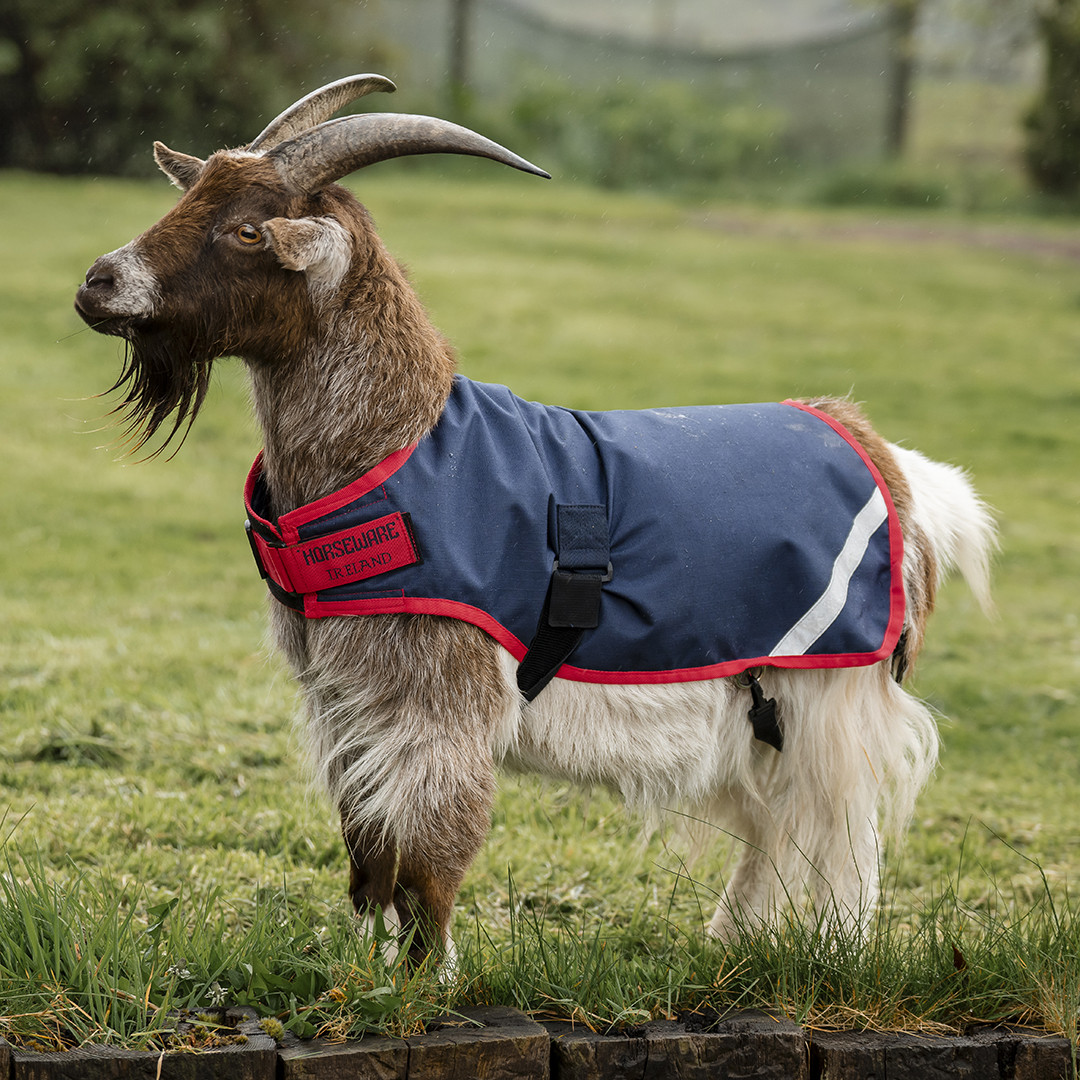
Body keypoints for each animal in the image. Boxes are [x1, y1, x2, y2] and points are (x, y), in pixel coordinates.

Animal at [75, 75, 995, 962]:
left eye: (246, 231)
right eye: (191, 198)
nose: (98, 283)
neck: (395, 444)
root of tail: (891, 463)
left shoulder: (439, 695)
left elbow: (429, 854)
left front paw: (424, 983)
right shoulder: (348, 701)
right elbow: (369, 854)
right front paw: (358, 974)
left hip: (835, 692)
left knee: (842, 831)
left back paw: (835, 954)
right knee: (777, 826)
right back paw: (730, 941)